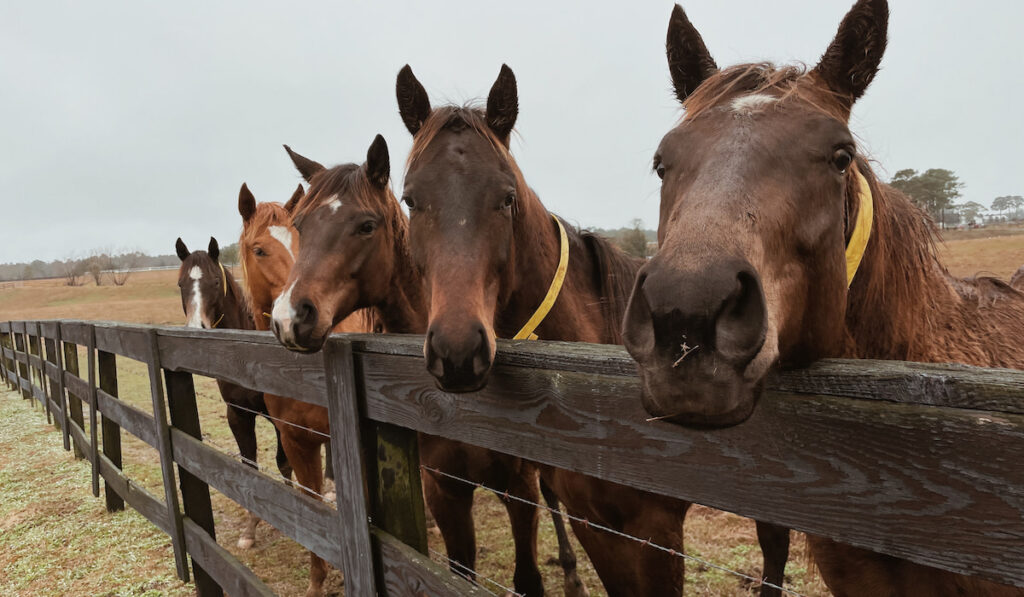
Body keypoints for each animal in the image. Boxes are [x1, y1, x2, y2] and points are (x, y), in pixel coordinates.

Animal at [173, 237, 292, 552]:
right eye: (180, 284)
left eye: (215, 282)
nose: (197, 328)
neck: (243, 353)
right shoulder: (238, 414)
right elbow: (249, 466)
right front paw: (250, 530)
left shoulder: (281, 420)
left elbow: (284, 462)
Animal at [236, 182, 372, 597]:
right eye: (259, 249)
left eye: (299, 240)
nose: (295, 317)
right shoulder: (296, 440)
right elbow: (312, 506)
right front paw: (317, 580)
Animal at [270, 136, 593, 597]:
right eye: (300, 225)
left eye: (366, 226)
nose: (289, 317)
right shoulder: (444, 487)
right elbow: (460, 571)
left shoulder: (519, 486)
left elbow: (528, 576)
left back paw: (571, 573)